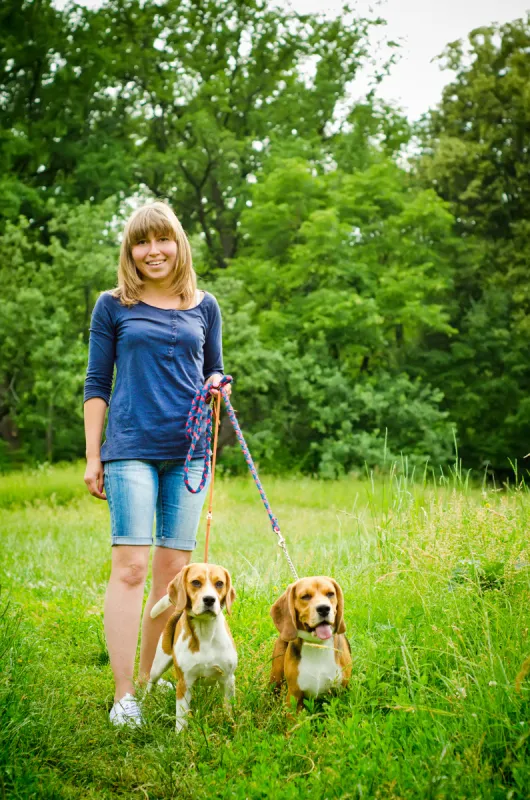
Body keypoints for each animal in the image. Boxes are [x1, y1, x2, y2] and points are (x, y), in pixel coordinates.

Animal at [145, 564, 234, 732]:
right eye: (196, 582)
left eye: (219, 583)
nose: (209, 599)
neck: (205, 632)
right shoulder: (184, 683)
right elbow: (181, 717)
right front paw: (180, 736)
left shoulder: (228, 678)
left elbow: (228, 708)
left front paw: (231, 726)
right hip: (158, 666)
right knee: (150, 684)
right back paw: (145, 703)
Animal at [268, 576, 350, 712]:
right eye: (305, 596)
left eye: (330, 594)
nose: (324, 608)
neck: (317, 645)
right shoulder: (294, 696)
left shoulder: (341, 693)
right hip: (276, 677)